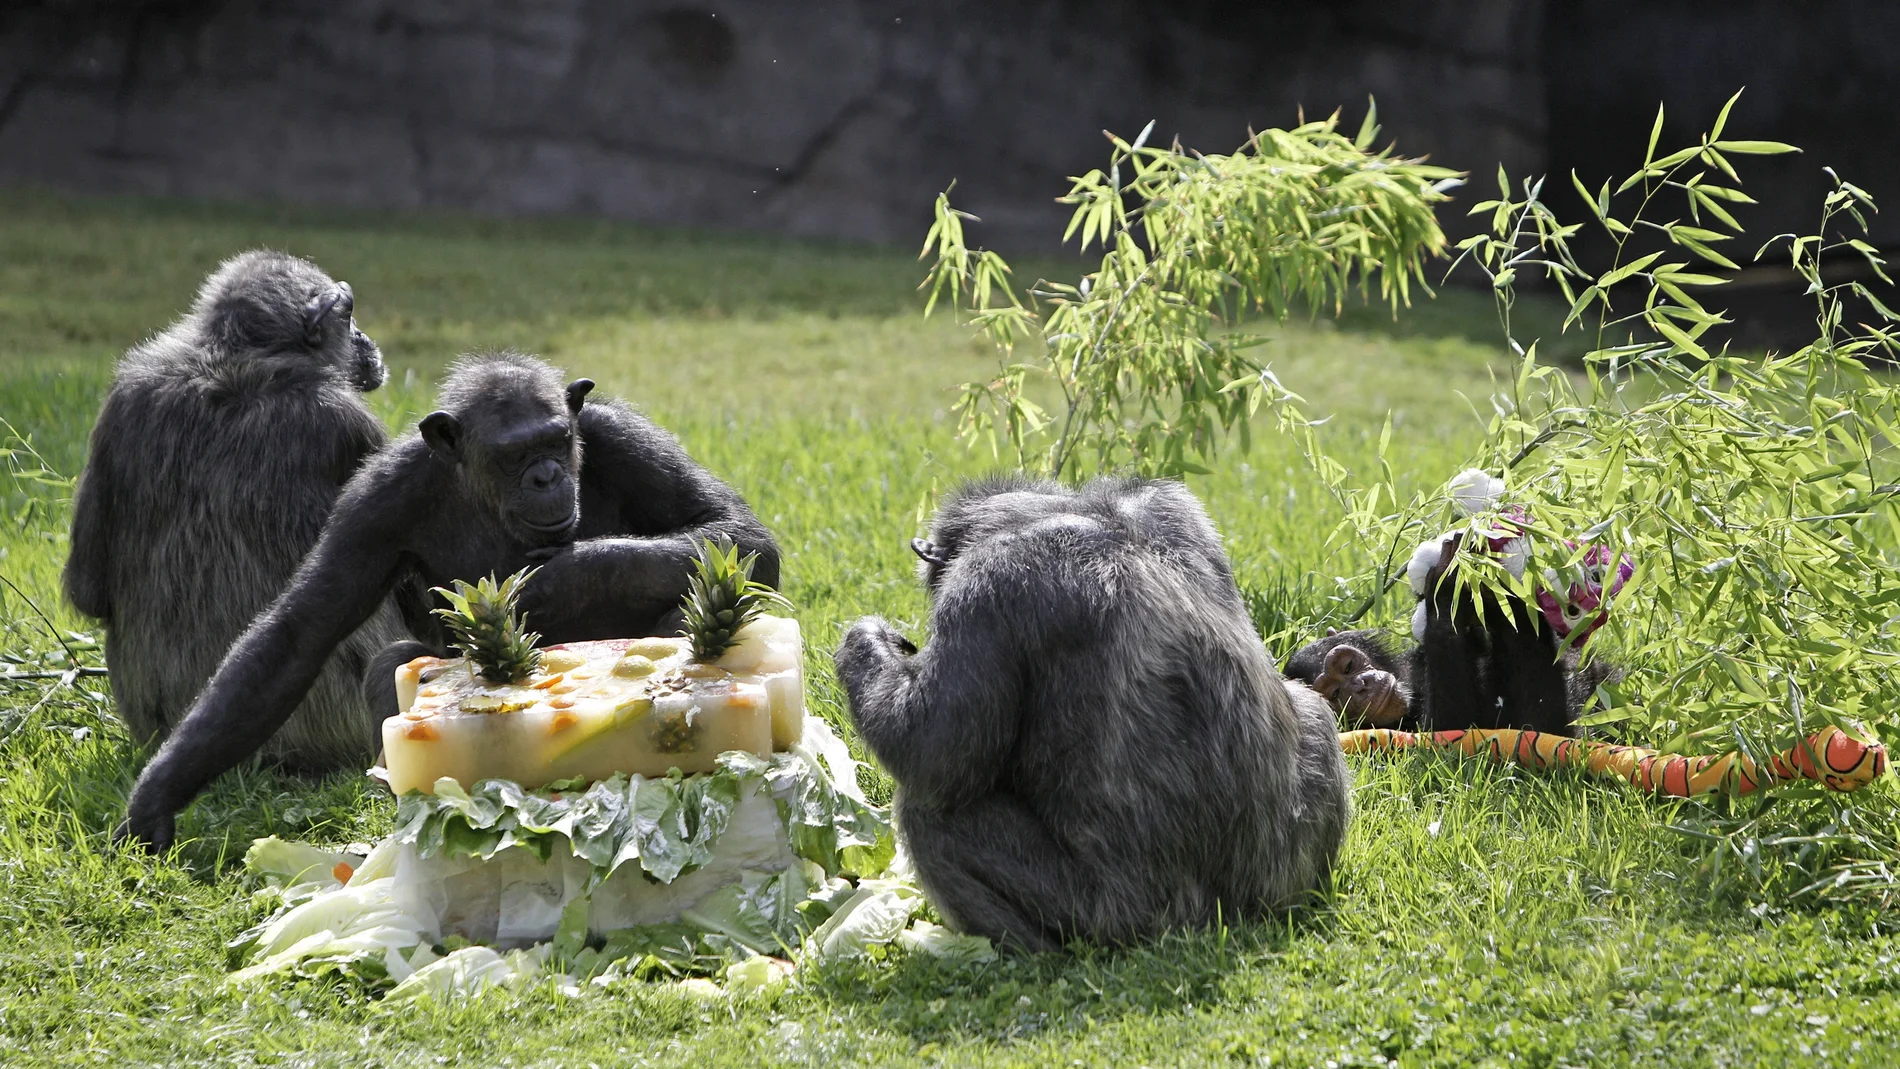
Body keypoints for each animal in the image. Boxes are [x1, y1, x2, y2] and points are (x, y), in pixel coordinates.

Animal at [66, 250, 404, 770]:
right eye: (347, 313)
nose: (363, 336)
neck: (233, 361)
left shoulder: (123, 400)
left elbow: (90, 590)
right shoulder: (350, 427)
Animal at [118, 353, 779, 854]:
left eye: (556, 439)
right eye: (514, 454)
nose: (545, 476)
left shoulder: (623, 436)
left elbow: (735, 531)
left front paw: (559, 577)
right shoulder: (374, 502)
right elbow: (300, 630)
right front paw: (156, 796)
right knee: (391, 661)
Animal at [832, 476, 1352, 953]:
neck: (1095, 517)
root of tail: (1215, 922)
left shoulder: (987, 581)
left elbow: (933, 752)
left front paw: (865, 639)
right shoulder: (1180, 508)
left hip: (1105, 916)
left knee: (932, 817)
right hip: (1284, 877)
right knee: (1312, 711)